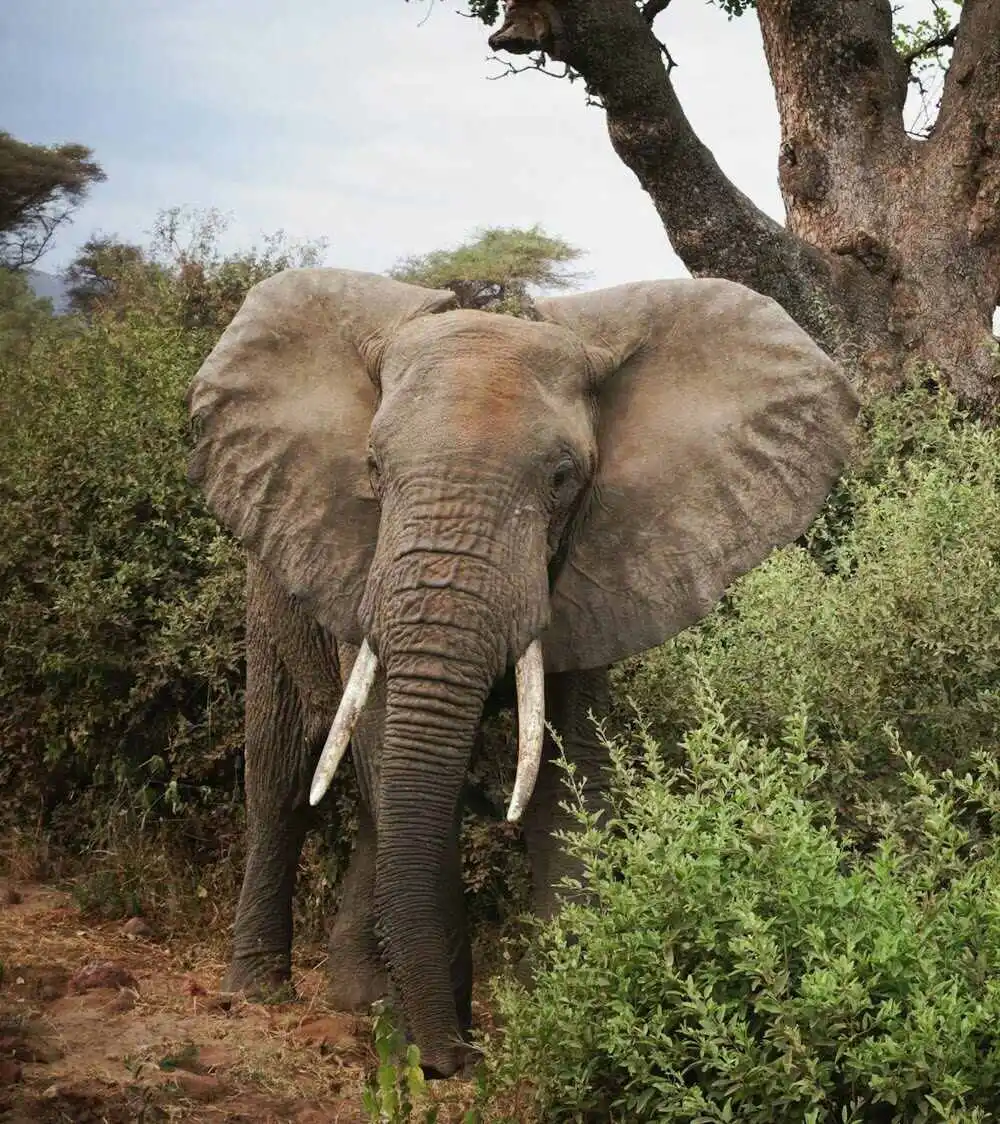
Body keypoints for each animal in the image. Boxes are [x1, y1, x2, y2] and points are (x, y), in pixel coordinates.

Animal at [186, 265, 858, 1079]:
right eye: (373, 468)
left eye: (564, 477)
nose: (450, 1061)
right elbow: (393, 753)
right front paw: (441, 1043)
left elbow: (568, 773)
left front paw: (563, 1014)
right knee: (284, 775)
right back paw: (262, 991)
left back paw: (359, 999)